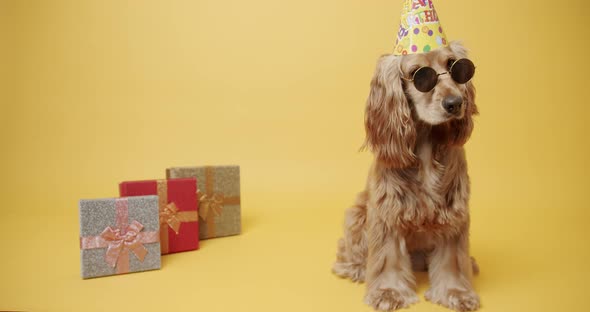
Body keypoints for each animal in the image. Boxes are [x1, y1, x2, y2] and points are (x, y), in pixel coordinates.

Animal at [332, 41, 480, 312]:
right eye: (419, 75)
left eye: (454, 66)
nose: (455, 103)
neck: (425, 142)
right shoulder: (388, 210)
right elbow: (388, 257)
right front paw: (388, 292)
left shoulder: (453, 209)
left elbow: (453, 258)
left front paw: (456, 292)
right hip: (356, 214)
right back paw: (356, 268)